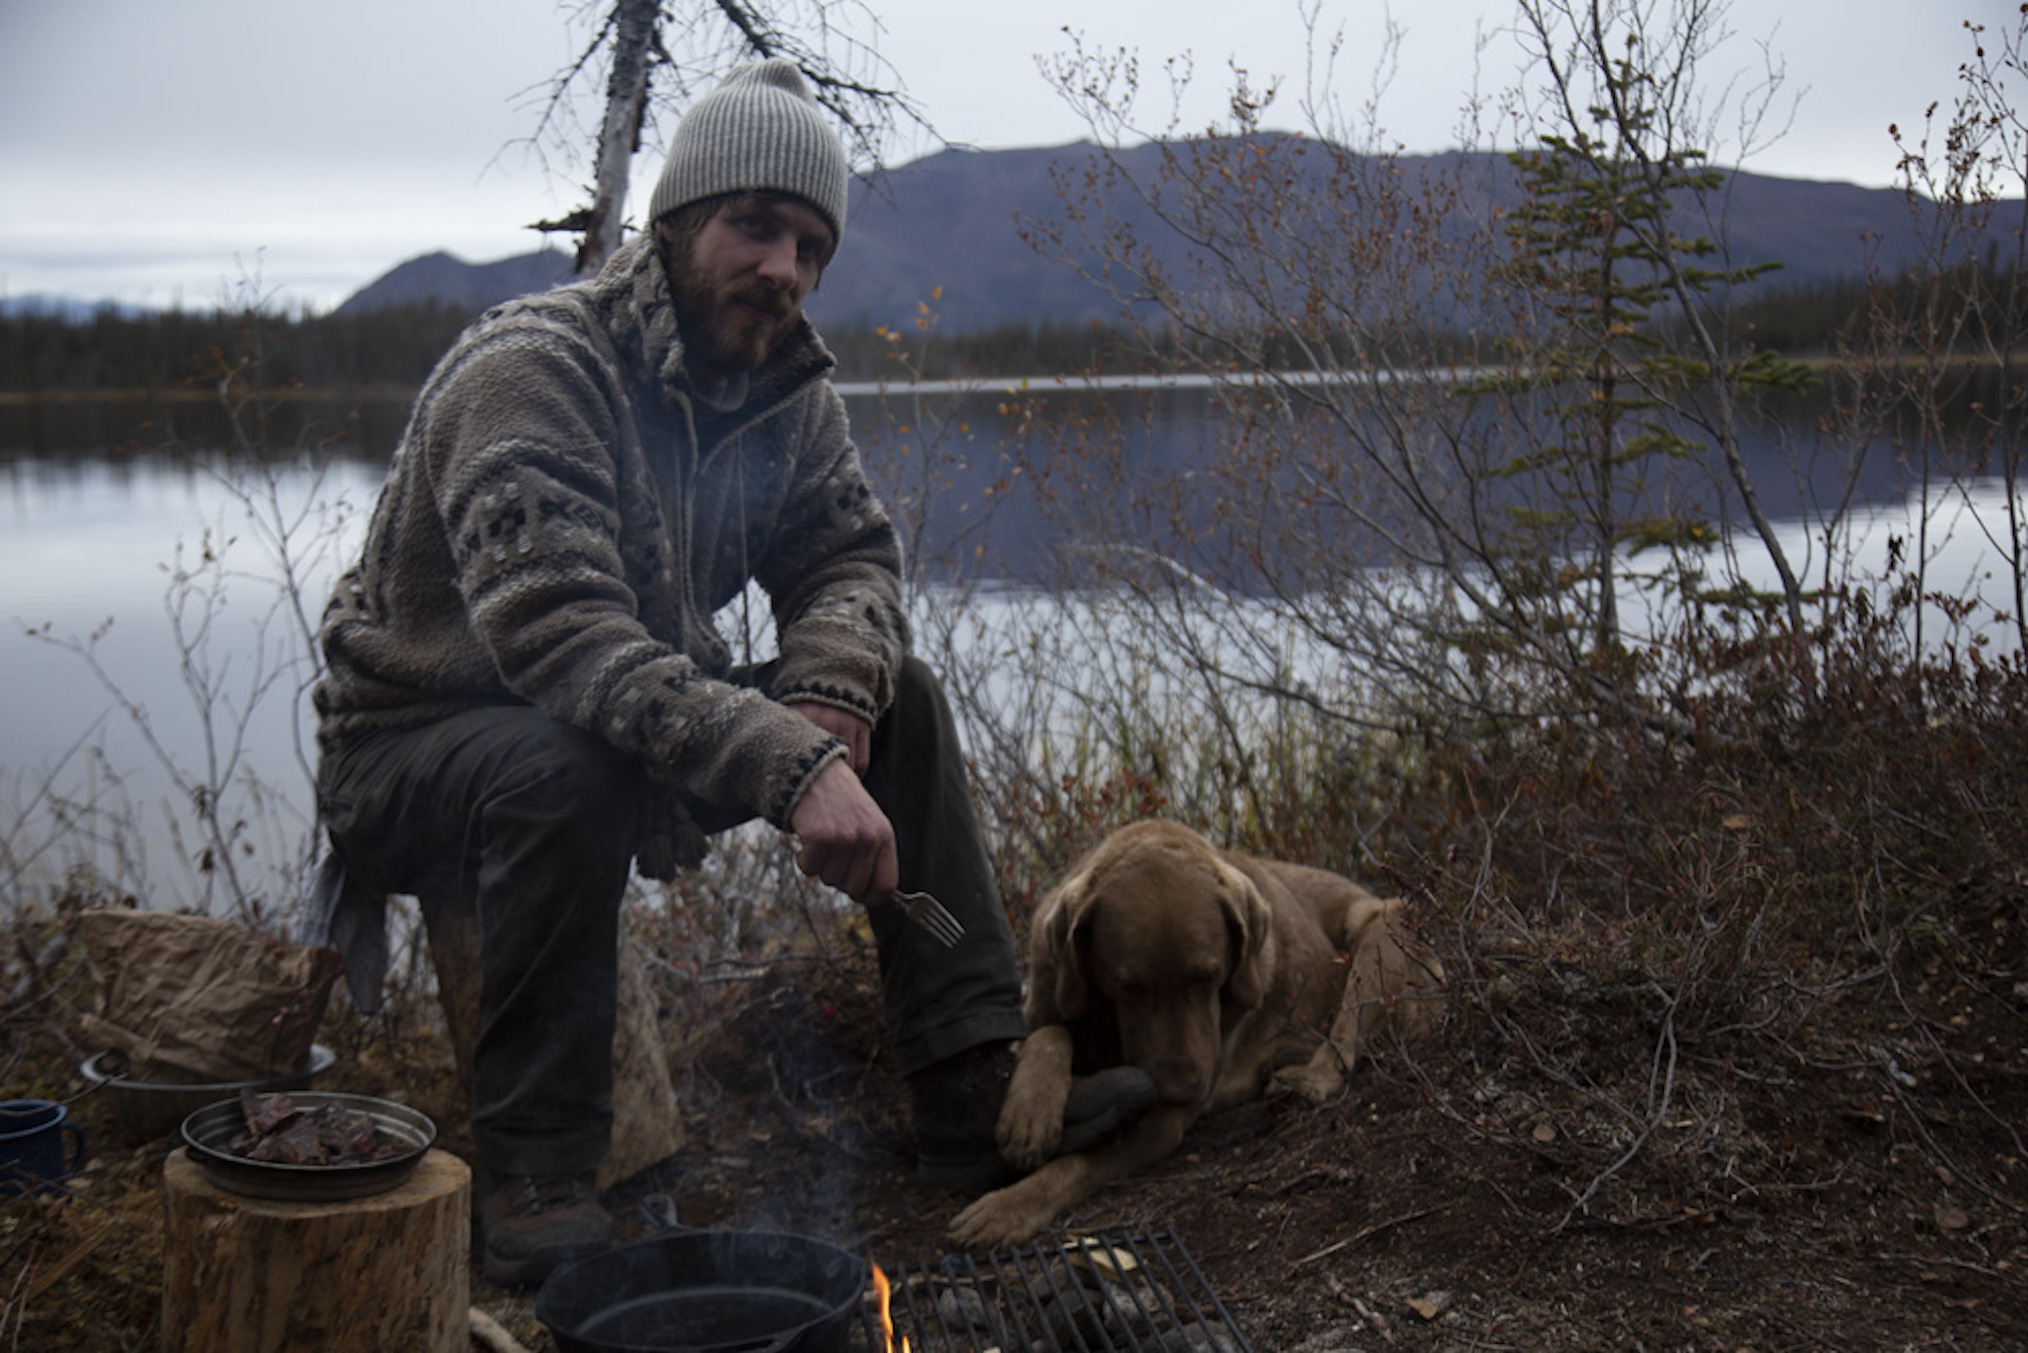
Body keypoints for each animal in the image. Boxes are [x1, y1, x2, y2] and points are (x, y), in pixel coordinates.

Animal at [949, 815, 1443, 1249]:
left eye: (1208, 975)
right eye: (1128, 985)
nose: (1180, 1090)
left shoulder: (1164, 1124)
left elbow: (1076, 1164)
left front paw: (1008, 1207)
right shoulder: (1046, 995)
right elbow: (1051, 1032)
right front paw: (1031, 1113)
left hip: (1384, 928)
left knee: (1343, 1043)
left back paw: (1302, 1079)